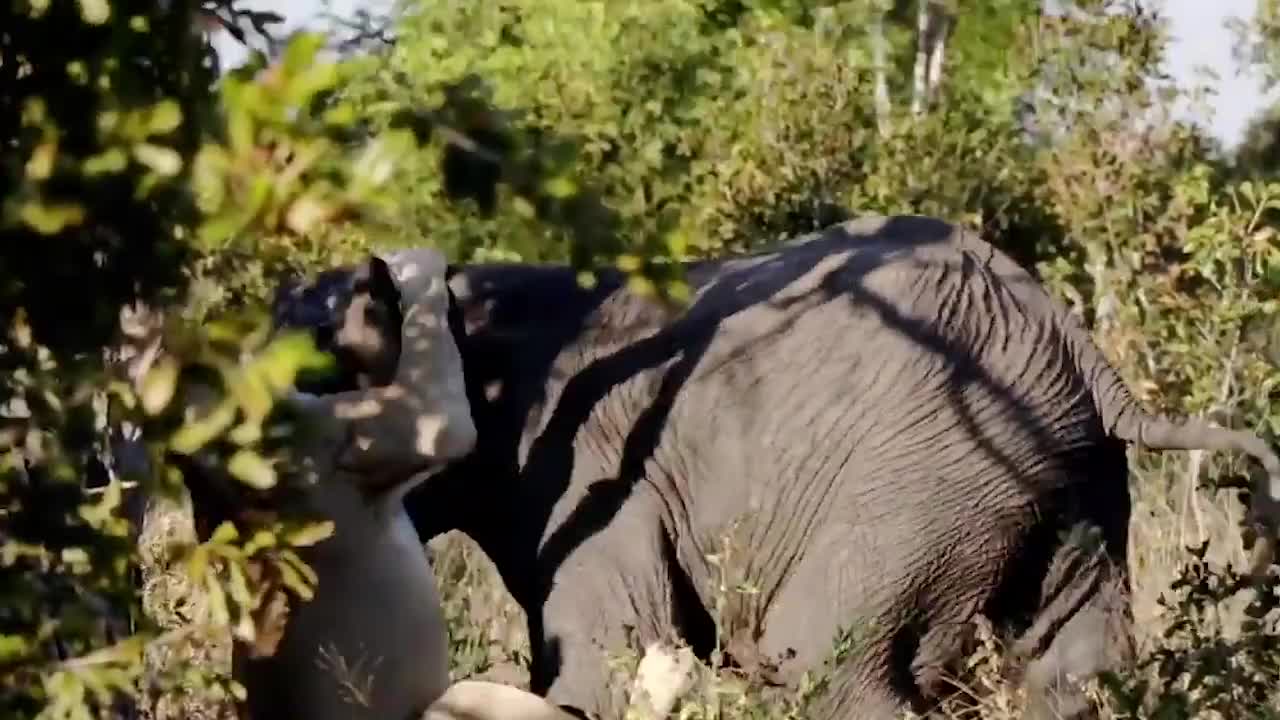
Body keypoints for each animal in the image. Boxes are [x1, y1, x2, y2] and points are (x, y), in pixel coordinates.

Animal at [272, 215, 1280, 717]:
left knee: (828, 673)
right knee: (1071, 680)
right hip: (1066, 491)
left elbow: (601, 667)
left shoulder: (598, 475)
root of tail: (1083, 353)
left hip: (926, 484)